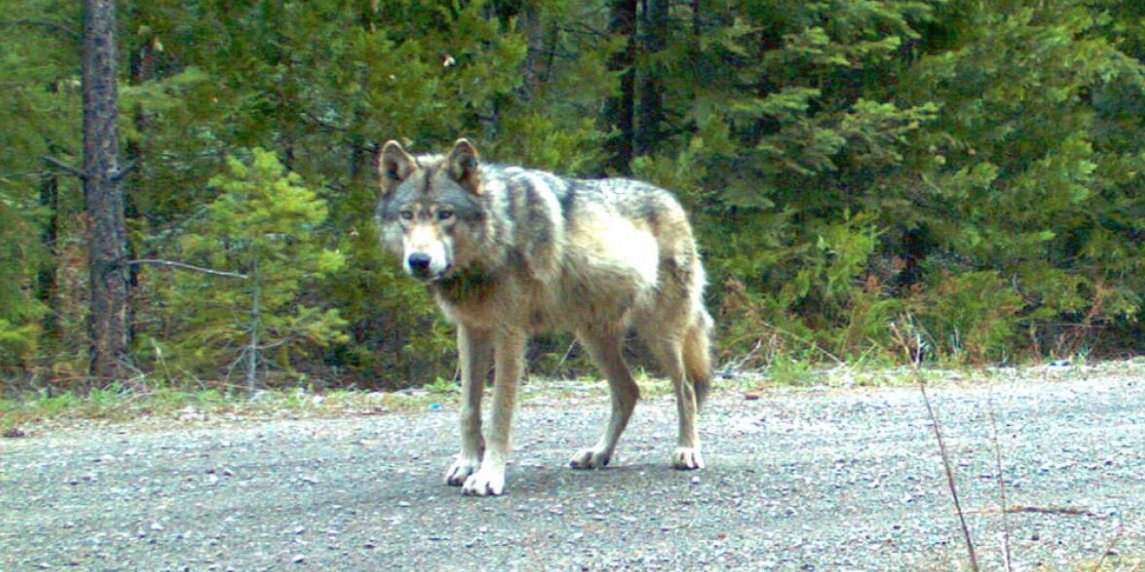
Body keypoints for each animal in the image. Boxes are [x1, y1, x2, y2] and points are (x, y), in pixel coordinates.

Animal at [375, 138, 714, 496]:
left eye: (445, 214)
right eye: (407, 215)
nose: (419, 261)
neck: (498, 233)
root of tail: (673, 200)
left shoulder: (509, 334)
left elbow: (499, 415)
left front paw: (488, 476)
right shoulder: (470, 331)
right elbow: (468, 410)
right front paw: (467, 464)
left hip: (660, 334)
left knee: (686, 389)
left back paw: (687, 450)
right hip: (593, 338)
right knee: (629, 391)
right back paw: (598, 454)